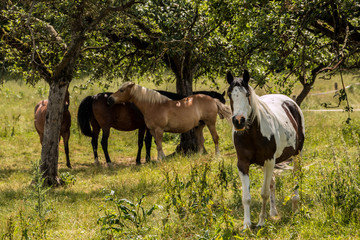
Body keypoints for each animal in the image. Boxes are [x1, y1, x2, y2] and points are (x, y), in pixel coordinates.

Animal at [226, 70, 306, 230]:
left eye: (247, 94)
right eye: (229, 94)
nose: (239, 121)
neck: (252, 134)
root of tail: (291, 102)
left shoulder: (269, 161)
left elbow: (264, 193)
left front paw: (261, 222)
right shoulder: (243, 164)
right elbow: (247, 197)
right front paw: (247, 224)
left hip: (297, 154)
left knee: (295, 176)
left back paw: (295, 207)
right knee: (272, 183)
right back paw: (273, 212)